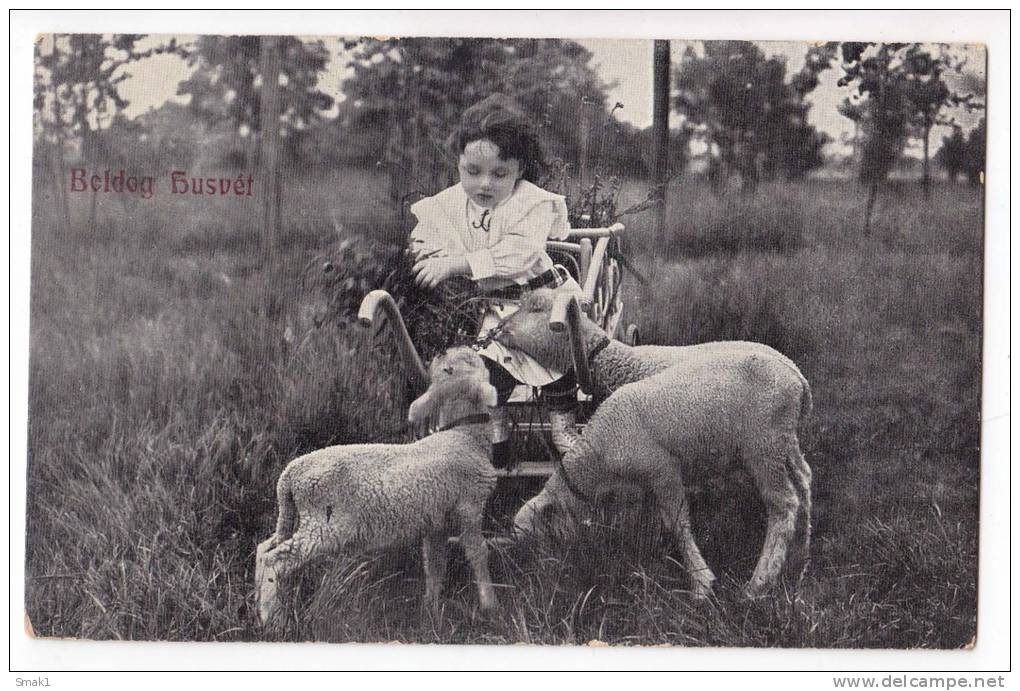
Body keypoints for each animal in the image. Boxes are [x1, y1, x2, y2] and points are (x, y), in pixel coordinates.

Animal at [255, 347, 501, 628]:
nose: (441, 352)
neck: (464, 434)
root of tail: (289, 474)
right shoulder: (470, 507)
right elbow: (478, 553)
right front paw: (491, 605)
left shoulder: (437, 521)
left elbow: (435, 563)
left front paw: (431, 611)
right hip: (324, 525)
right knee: (275, 561)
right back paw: (273, 619)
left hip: (297, 520)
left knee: (263, 550)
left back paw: (259, 608)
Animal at [493, 287, 811, 596]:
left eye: (535, 308)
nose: (498, 328)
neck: (613, 361)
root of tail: (796, 374)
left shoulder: (660, 467)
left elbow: (671, 519)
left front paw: (697, 580)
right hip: (784, 443)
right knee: (804, 481)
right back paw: (799, 561)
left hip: (763, 446)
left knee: (783, 504)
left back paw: (759, 584)